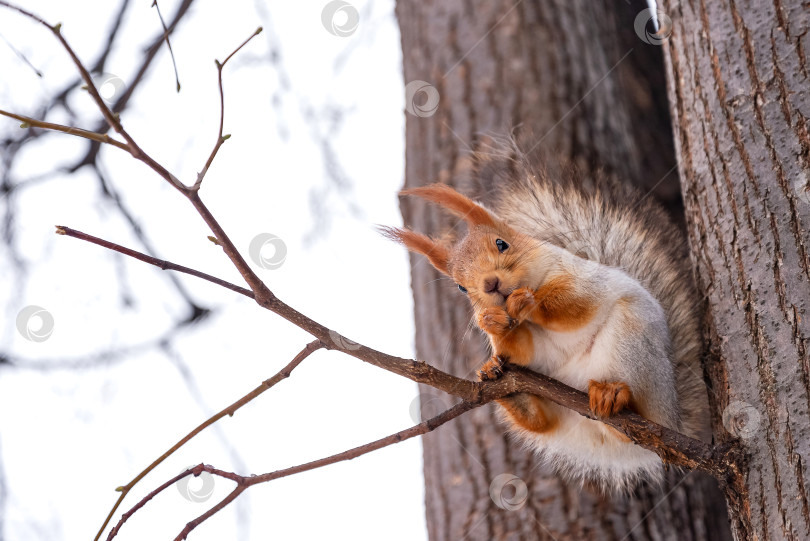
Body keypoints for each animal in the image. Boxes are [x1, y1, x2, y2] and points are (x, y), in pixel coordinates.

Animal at [384, 143, 708, 490]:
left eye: (501, 243)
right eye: (460, 286)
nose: (490, 284)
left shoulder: (584, 280)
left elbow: (573, 306)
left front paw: (527, 301)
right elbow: (520, 350)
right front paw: (493, 325)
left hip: (635, 347)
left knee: (637, 411)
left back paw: (613, 395)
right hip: (555, 404)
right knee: (541, 422)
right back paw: (506, 388)